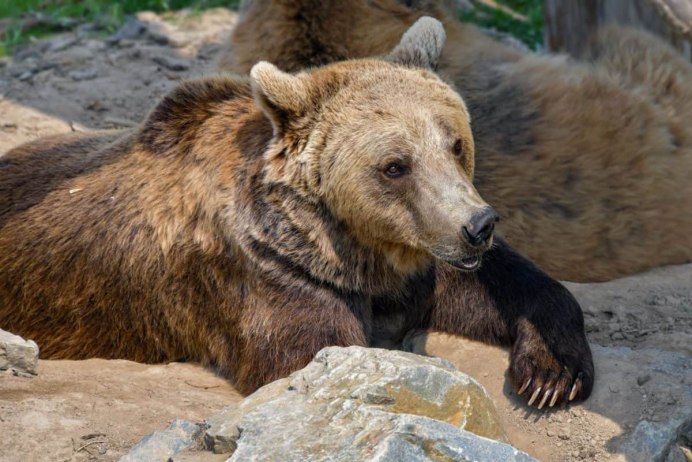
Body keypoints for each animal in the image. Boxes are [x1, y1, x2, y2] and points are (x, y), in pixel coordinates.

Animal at [0, 18, 592, 408]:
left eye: (455, 143)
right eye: (395, 165)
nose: (477, 226)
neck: (351, 247)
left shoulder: (416, 257)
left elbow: (506, 285)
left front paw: (552, 374)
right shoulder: (267, 275)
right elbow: (314, 355)